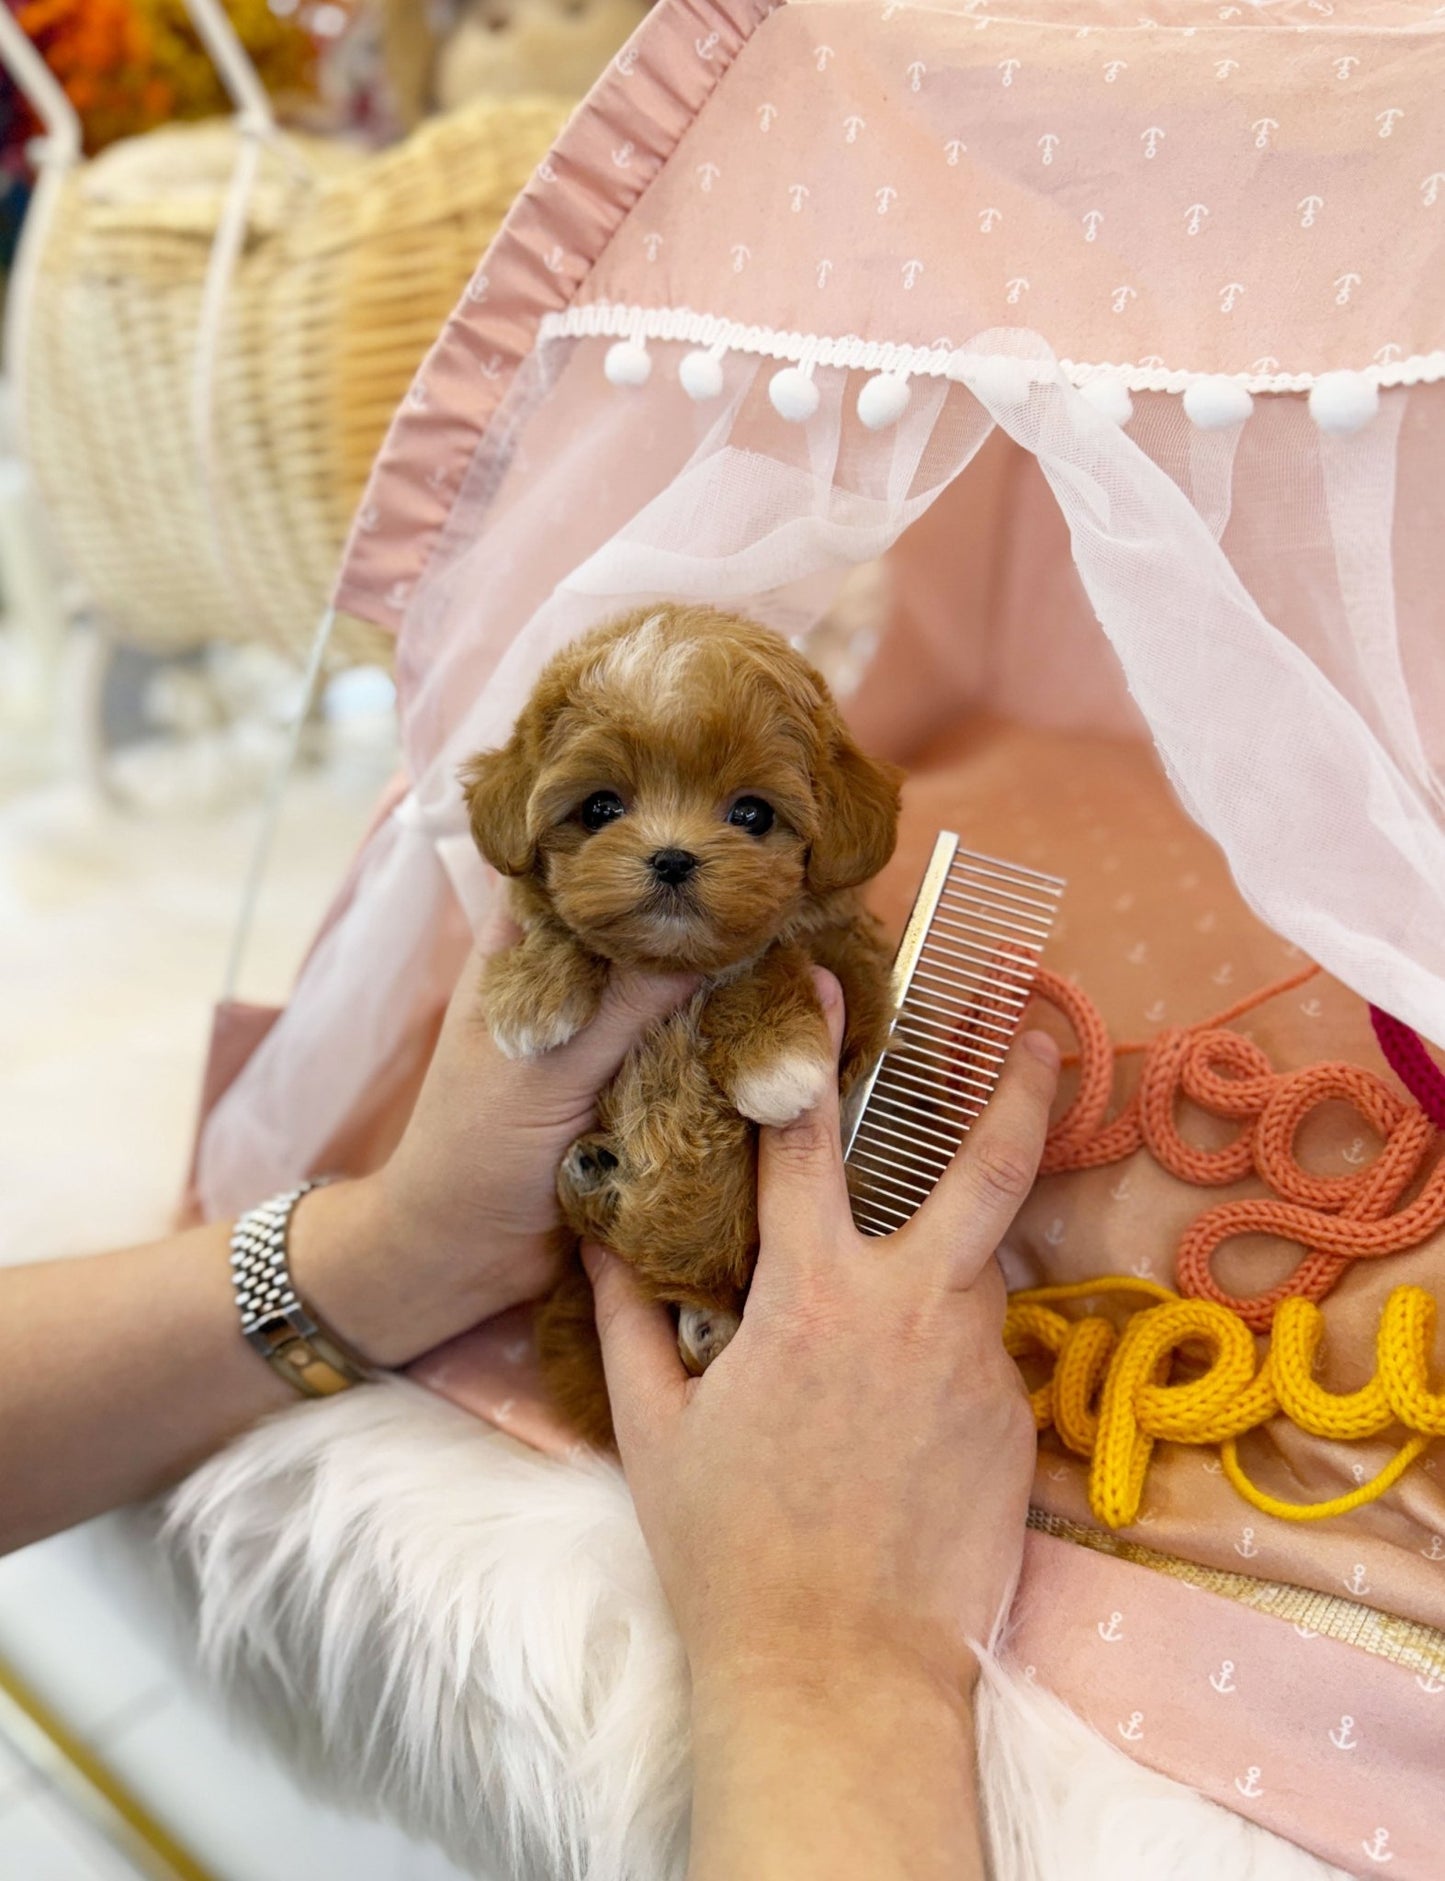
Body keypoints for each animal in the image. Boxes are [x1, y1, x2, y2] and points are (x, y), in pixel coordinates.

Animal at [459, 601, 903, 1437]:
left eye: (751, 812)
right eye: (600, 808)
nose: (670, 857)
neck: (673, 967)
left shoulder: (850, 974)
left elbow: (768, 961)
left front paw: (775, 1064)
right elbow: (559, 922)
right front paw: (534, 993)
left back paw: (707, 1324)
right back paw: (595, 1179)